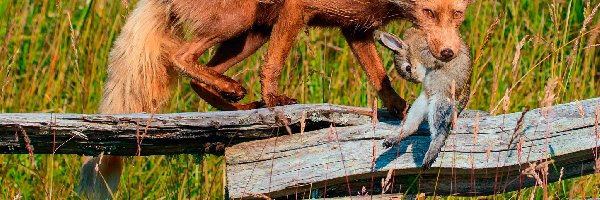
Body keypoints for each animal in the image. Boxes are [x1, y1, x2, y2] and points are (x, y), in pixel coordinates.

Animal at [76, 0, 468, 198]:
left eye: (458, 14)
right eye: (429, 13)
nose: (449, 53)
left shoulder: (355, 27)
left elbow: (378, 77)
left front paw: (397, 108)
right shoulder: (299, 10)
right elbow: (274, 65)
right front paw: (274, 99)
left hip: (252, 31)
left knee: (198, 76)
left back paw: (237, 103)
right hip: (240, 20)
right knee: (179, 57)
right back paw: (240, 93)